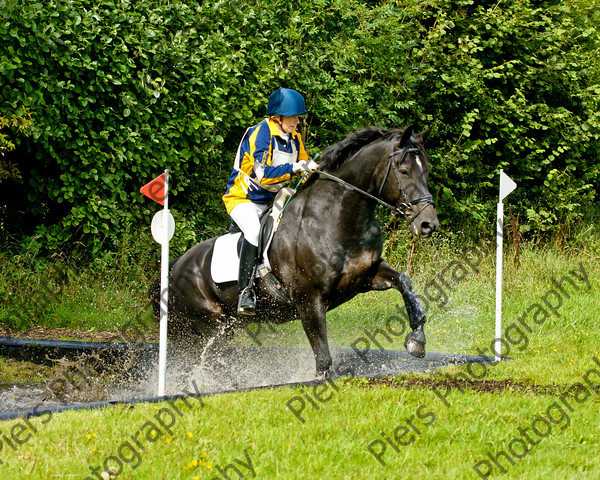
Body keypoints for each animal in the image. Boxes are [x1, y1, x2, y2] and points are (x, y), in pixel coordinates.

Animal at [152, 124, 438, 378]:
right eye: (404, 171)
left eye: (426, 171)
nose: (428, 225)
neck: (336, 217)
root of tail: (174, 269)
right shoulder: (308, 300)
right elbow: (323, 358)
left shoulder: (365, 277)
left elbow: (404, 281)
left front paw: (417, 340)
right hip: (212, 327)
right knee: (211, 362)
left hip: (217, 329)